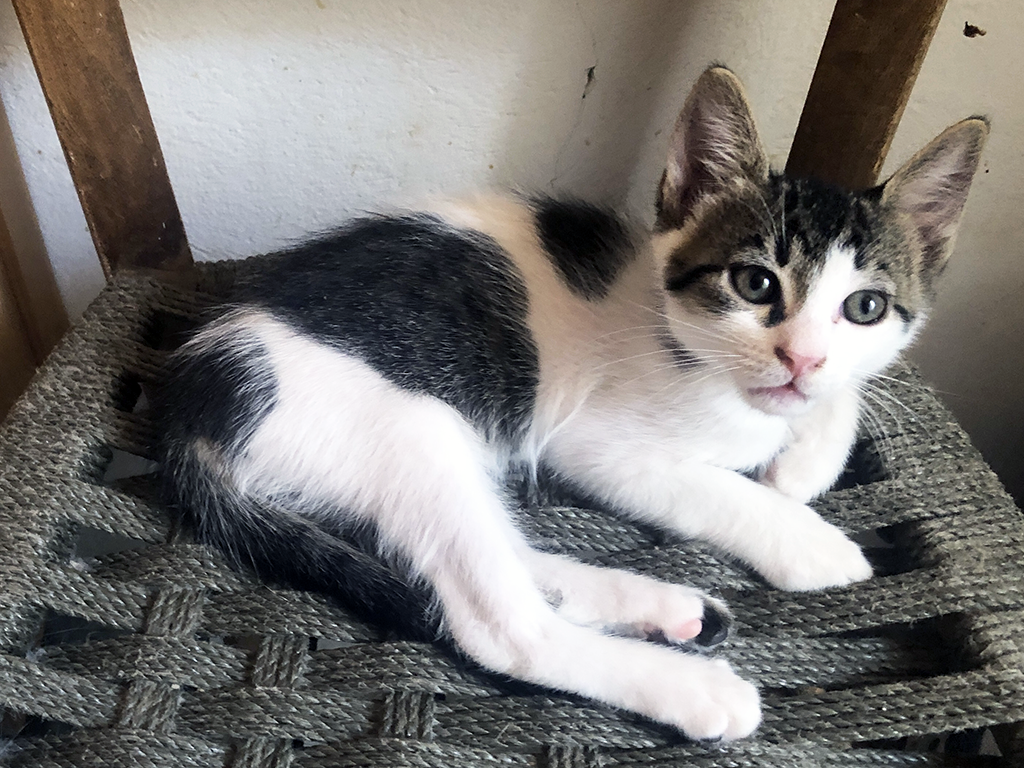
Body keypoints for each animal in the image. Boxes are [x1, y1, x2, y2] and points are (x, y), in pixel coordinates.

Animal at [155, 66, 987, 741]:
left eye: (865, 308)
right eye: (755, 284)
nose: (801, 357)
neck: (692, 350)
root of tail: (199, 392)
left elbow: (840, 397)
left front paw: (806, 457)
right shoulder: (594, 446)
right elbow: (716, 488)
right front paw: (812, 540)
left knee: (504, 555)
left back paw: (668, 608)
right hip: (413, 429)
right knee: (498, 620)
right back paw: (689, 684)